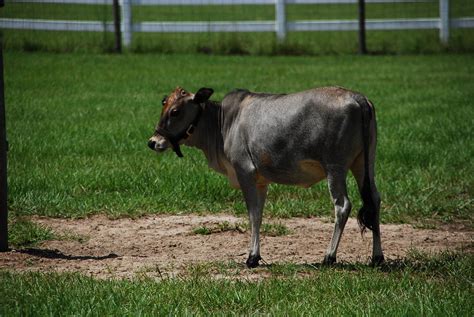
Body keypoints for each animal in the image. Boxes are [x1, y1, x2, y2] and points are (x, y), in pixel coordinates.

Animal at [149, 85, 386, 266]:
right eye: (164, 104)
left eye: (175, 112)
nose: (152, 142)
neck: (223, 123)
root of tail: (358, 98)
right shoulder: (261, 181)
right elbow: (260, 214)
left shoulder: (245, 172)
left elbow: (253, 214)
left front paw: (252, 257)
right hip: (365, 163)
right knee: (374, 200)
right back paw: (377, 257)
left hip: (335, 168)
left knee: (342, 205)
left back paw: (329, 257)